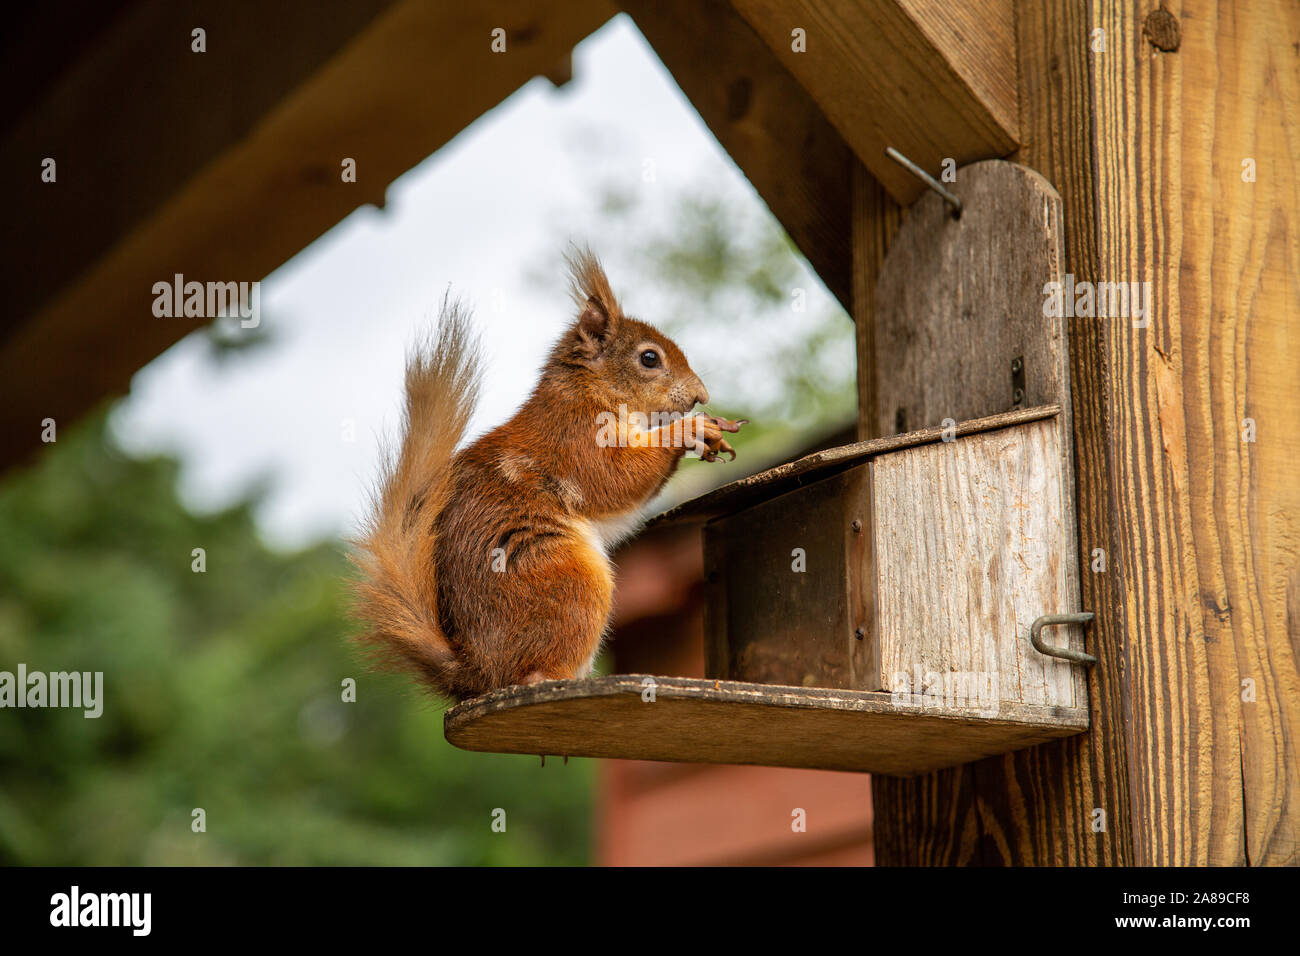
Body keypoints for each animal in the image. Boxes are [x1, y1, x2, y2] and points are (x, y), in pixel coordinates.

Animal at [353, 252, 743, 702]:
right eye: (649, 358)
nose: (701, 397)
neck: (591, 389)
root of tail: (482, 673)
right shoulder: (575, 438)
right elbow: (615, 478)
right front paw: (689, 430)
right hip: (567, 580)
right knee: (536, 670)